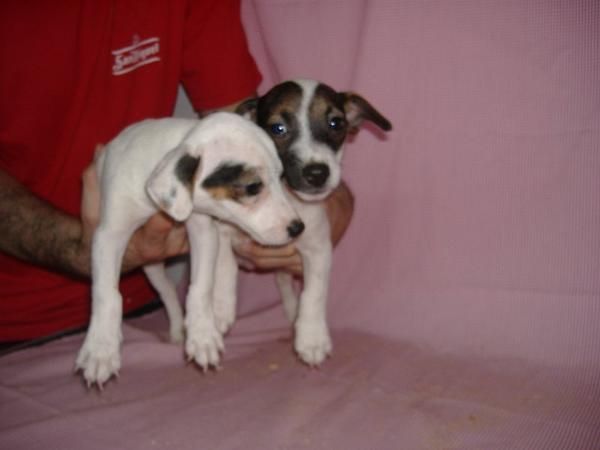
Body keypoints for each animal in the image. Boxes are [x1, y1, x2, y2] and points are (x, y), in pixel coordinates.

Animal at [75, 112, 304, 386]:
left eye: (281, 178)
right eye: (252, 187)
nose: (298, 228)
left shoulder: (203, 230)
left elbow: (200, 286)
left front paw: (202, 333)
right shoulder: (109, 235)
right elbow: (106, 294)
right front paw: (101, 348)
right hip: (151, 266)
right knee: (168, 292)